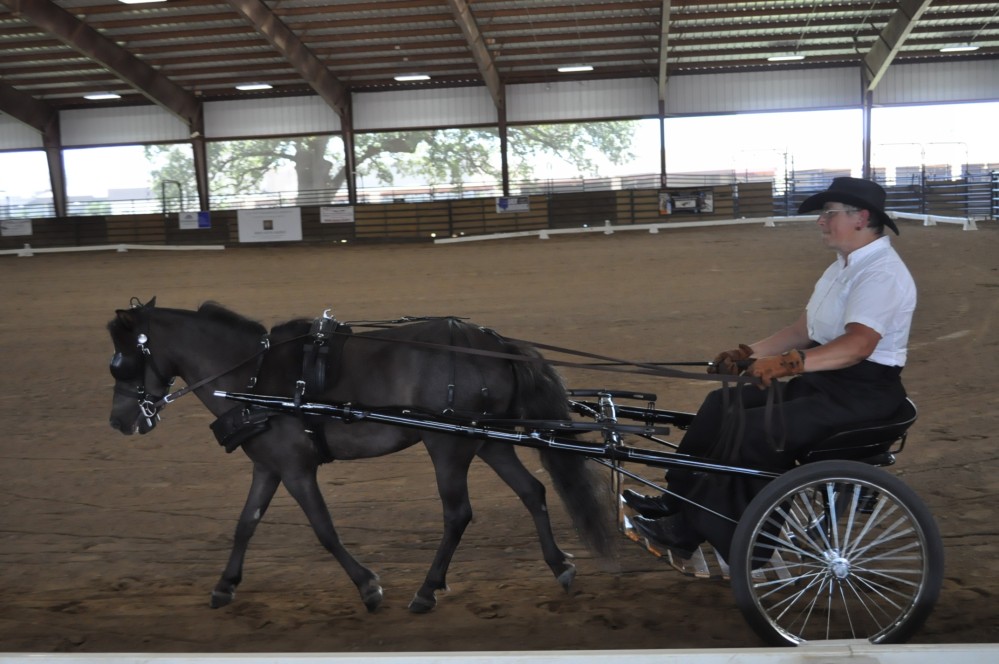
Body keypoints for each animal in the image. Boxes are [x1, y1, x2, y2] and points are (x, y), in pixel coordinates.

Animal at [107, 300, 608, 612]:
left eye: (120, 361)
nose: (119, 421)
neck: (254, 377)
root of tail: (495, 344)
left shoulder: (296, 468)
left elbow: (324, 530)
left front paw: (368, 586)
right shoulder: (269, 466)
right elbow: (245, 524)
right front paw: (225, 585)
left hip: (448, 446)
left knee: (458, 514)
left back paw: (427, 591)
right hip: (487, 441)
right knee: (533, 491)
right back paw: (560, 566)